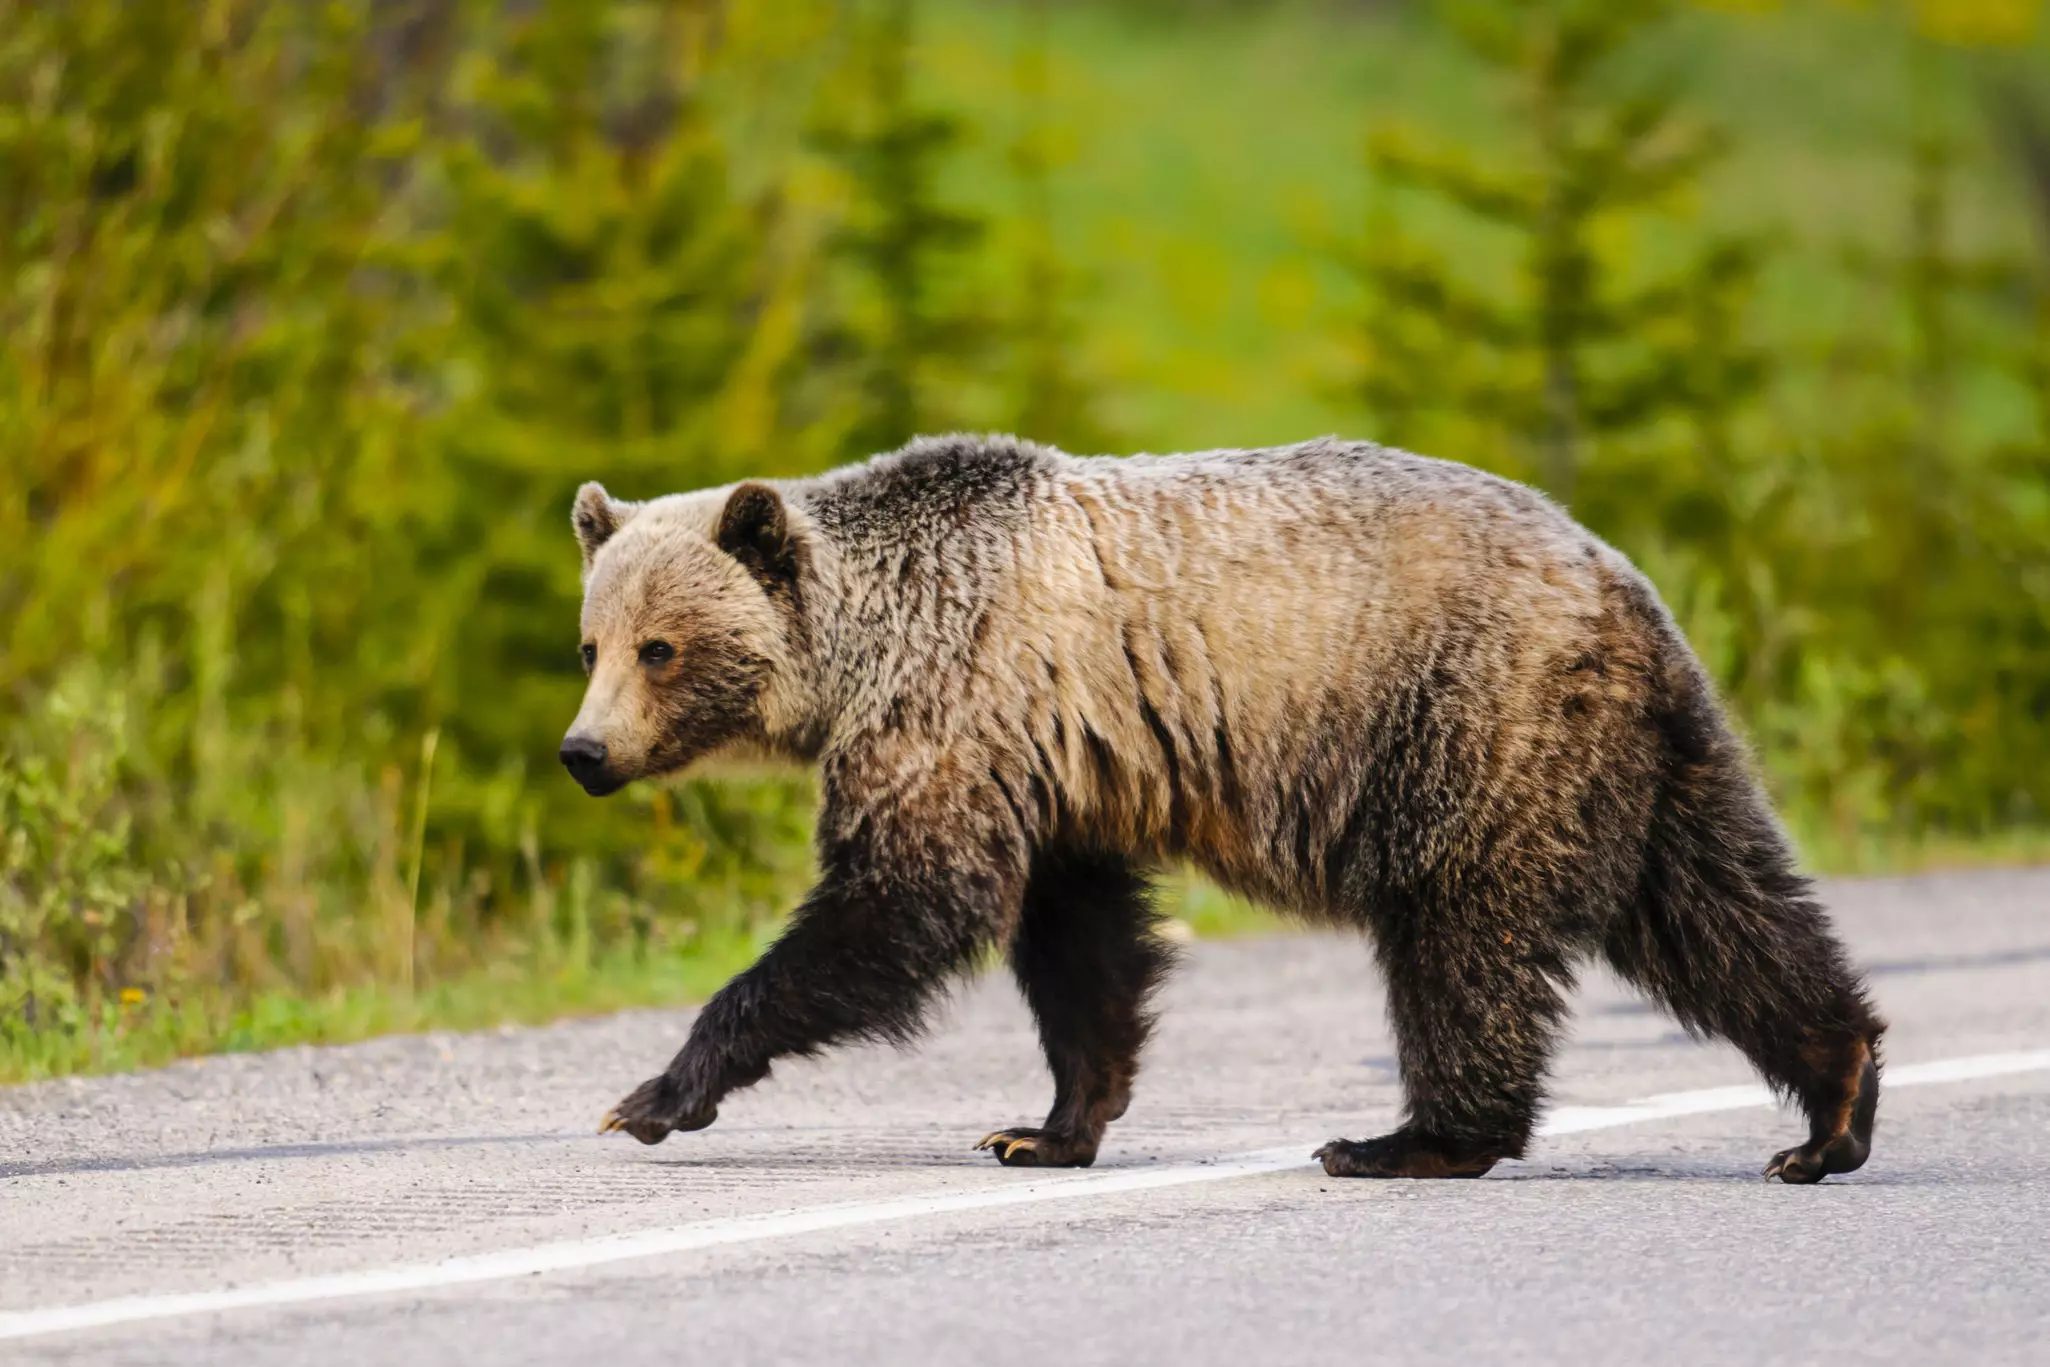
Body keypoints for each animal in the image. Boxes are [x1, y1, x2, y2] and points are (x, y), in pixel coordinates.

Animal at [560, 434, 1884, 1183]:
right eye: (590, 641)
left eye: (660, 645)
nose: (582, 749)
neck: (864, 641)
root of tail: (1617, 578)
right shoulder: (1061, 762)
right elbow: (1080, 944)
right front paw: (1046, 1126)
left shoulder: (960, 706)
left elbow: (903, 901)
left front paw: (652, 1094)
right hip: (1631, 755)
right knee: (1720, 906)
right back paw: (1832, 1103)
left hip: (1466, 723)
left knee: (1462, 940)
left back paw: (1408, 1140)